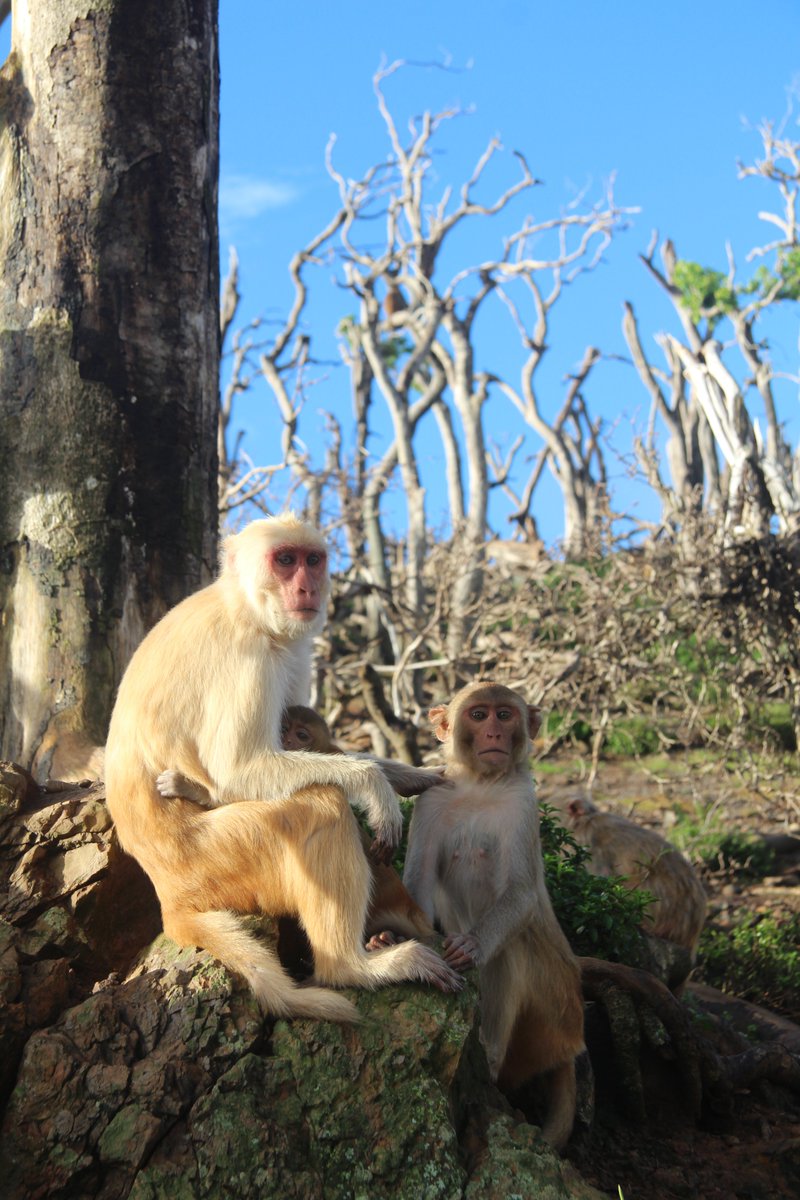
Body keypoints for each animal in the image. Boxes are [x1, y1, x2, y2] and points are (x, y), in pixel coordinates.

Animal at [103, 513, 460, 1022]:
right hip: (220, 859)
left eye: (313, 560)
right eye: (285, 560)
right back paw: (352, 967)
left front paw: (412, 775)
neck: (243, 604)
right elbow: (235, 771)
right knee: (322, 804)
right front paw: (374, 786)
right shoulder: (248, 656)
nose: (307, 586)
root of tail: (167, 892)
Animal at [407, 681, 582, 1147]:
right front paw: (386, 938)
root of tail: (574, 1042)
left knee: (514, 950)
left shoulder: (524, 802)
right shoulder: (431, 796)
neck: (480, 785)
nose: (493, 735)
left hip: (556, 1011)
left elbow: (520, 891)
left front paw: (470, 946)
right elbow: (418, 883)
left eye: (504, 715)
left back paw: (491, 1057)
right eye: (478, 715)